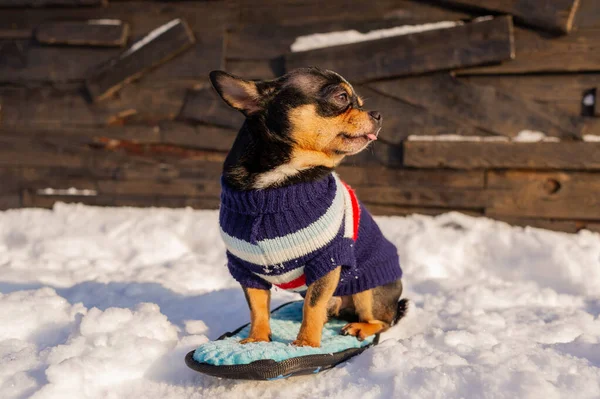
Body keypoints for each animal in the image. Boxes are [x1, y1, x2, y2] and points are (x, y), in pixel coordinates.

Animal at [212, 67, 408, 348]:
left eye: (359, 102)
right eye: (341, 97)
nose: (378, 114)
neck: (278, 184)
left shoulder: (327, 261)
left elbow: (312, 306)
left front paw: (306, 343)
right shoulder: (247, 268)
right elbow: (257, 308)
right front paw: (257, 339)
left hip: (367, 291)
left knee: (383, 321)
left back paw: (360, 327)